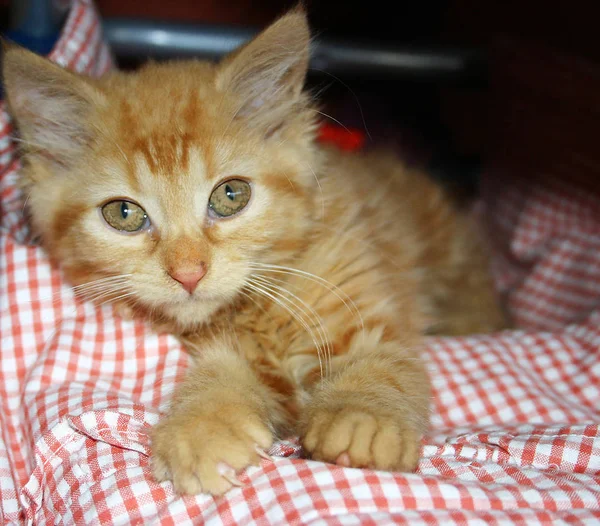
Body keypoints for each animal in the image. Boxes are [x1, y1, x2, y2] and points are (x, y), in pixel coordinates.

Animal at [1, 8, 506, 498]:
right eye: (124, 213)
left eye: (231, 195)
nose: (189, 273)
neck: (258, 306)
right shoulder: (222, 347)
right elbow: (222, 375)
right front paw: (203, 425)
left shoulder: (364, 304)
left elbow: (384, 363)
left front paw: (361, 417)